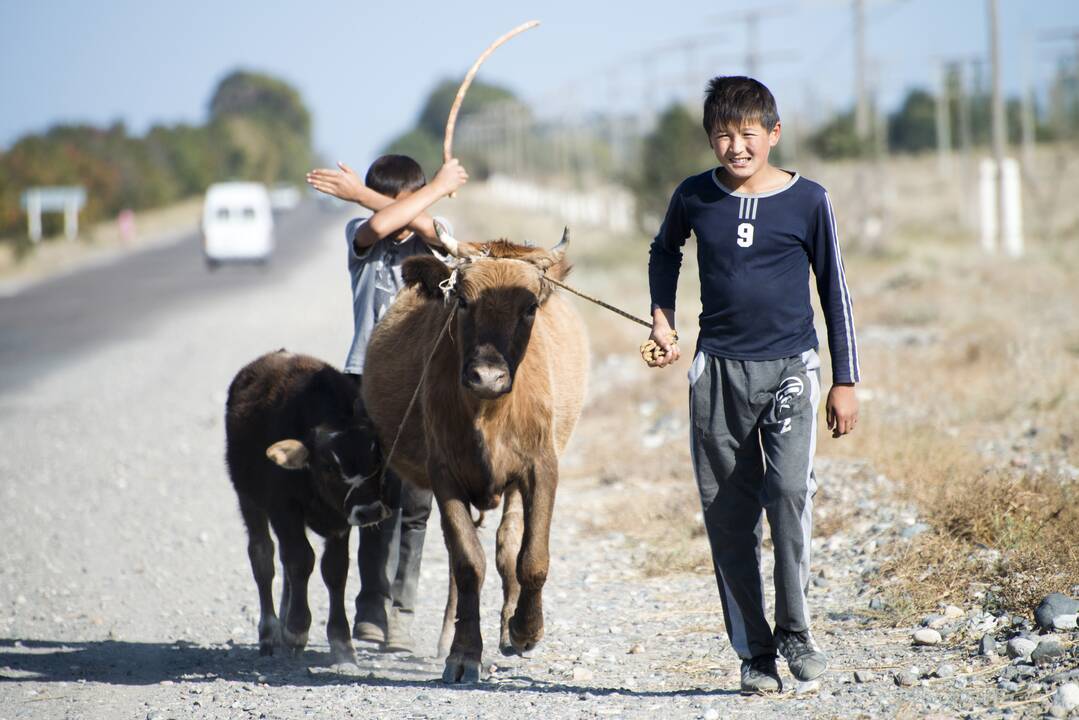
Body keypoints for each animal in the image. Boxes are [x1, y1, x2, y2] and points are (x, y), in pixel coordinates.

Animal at [362, 231, 586, 682]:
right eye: (462, 301)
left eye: (529, 308)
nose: (487, 377)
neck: (489, 412)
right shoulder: (444, 474)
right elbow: (467, 563)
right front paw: (464, 653)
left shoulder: (541, 467)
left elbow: (530, 558)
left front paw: (525, 629)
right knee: (461, 559)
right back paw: (451, 634)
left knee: (507, 544)